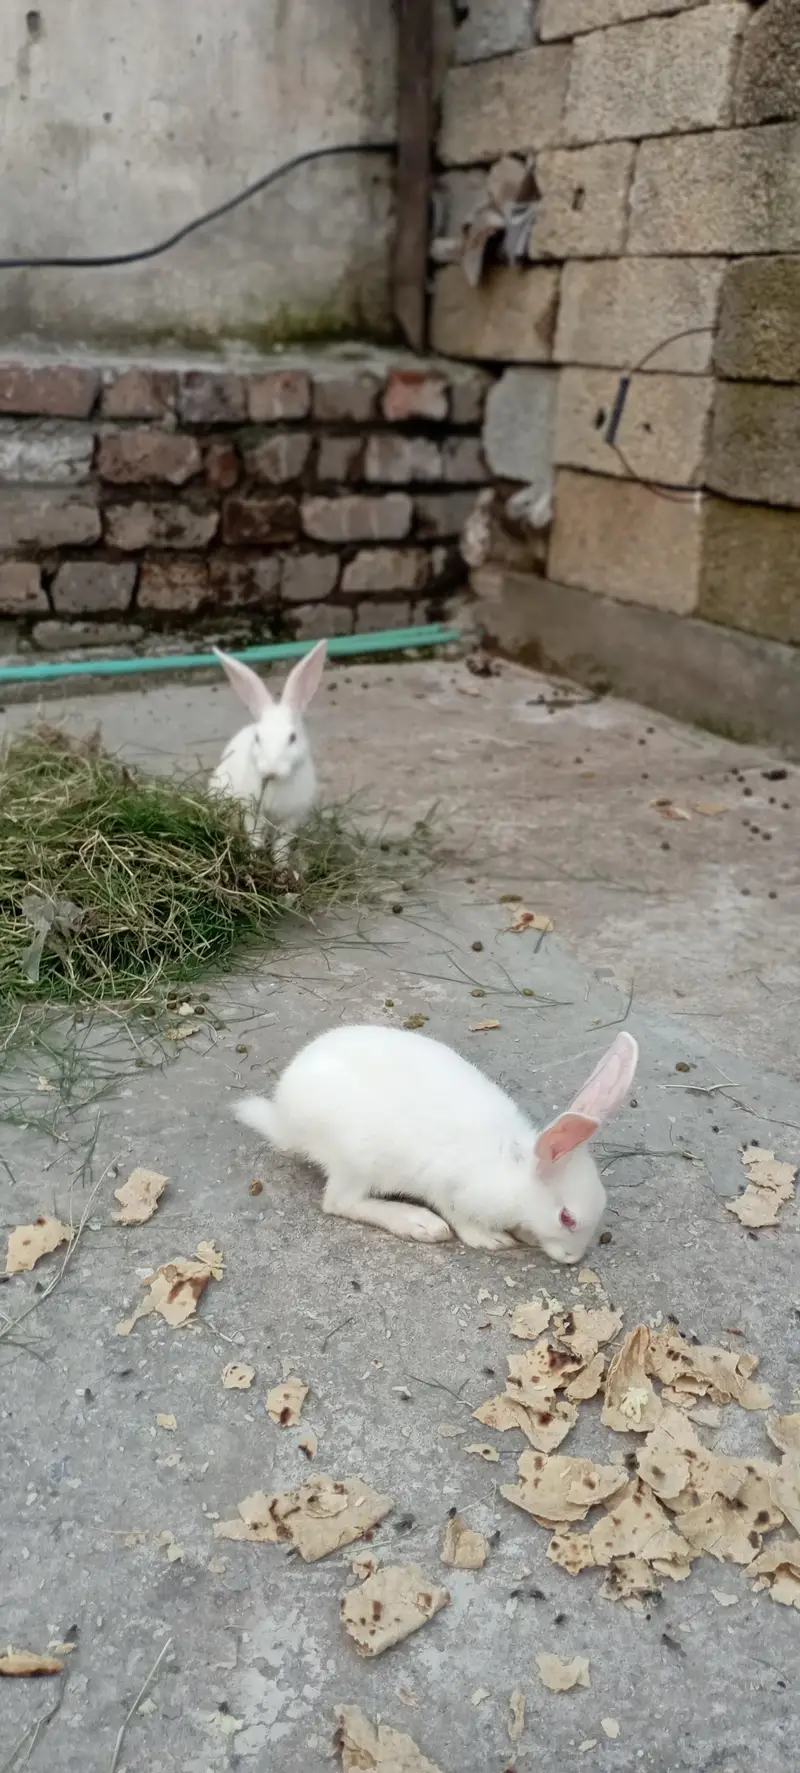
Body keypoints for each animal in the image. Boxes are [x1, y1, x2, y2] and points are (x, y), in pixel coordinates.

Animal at [208, 640, 327, 864]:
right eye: (258, 737)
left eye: (292, 737)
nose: (271, 770)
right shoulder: (251, 812)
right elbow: (255, 837)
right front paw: (254, 859)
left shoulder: (291, 819)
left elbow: (281, 847)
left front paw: (281, 867)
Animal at [233, 1024, 638, 1261]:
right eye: (567, 1218)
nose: (574, 1257)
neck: (514, 1171)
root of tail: (285, 1118)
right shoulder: (450, 1188)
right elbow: (461, 1218)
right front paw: (491, 1240)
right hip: (356, 1158)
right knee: (340, 1202)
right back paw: (419, 1223)